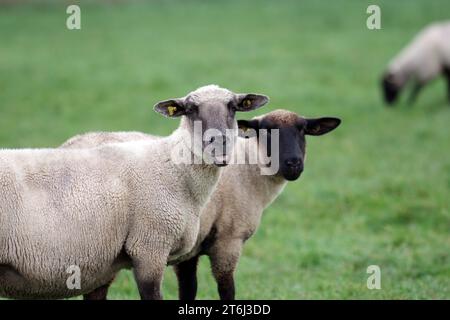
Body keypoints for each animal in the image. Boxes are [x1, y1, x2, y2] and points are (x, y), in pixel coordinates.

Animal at [60, 109, 342, 298]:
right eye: (264, 132)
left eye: (303, 131)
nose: (293, 163)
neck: (248, 169)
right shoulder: (228, 240)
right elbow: (226, 289)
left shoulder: (190, 249)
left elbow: (189, 290)